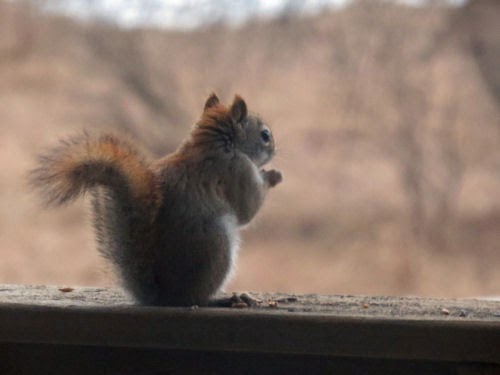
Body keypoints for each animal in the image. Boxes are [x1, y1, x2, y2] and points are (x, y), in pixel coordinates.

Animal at [30, 93, 282, 306]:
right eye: (265, 135)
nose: (274, 151)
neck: (213, 145)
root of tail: (164, 295)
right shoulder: (237, 172)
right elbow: (248, 210)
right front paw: (271, 176)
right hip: (216, 246)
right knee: (195, 299)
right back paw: (223, 299)